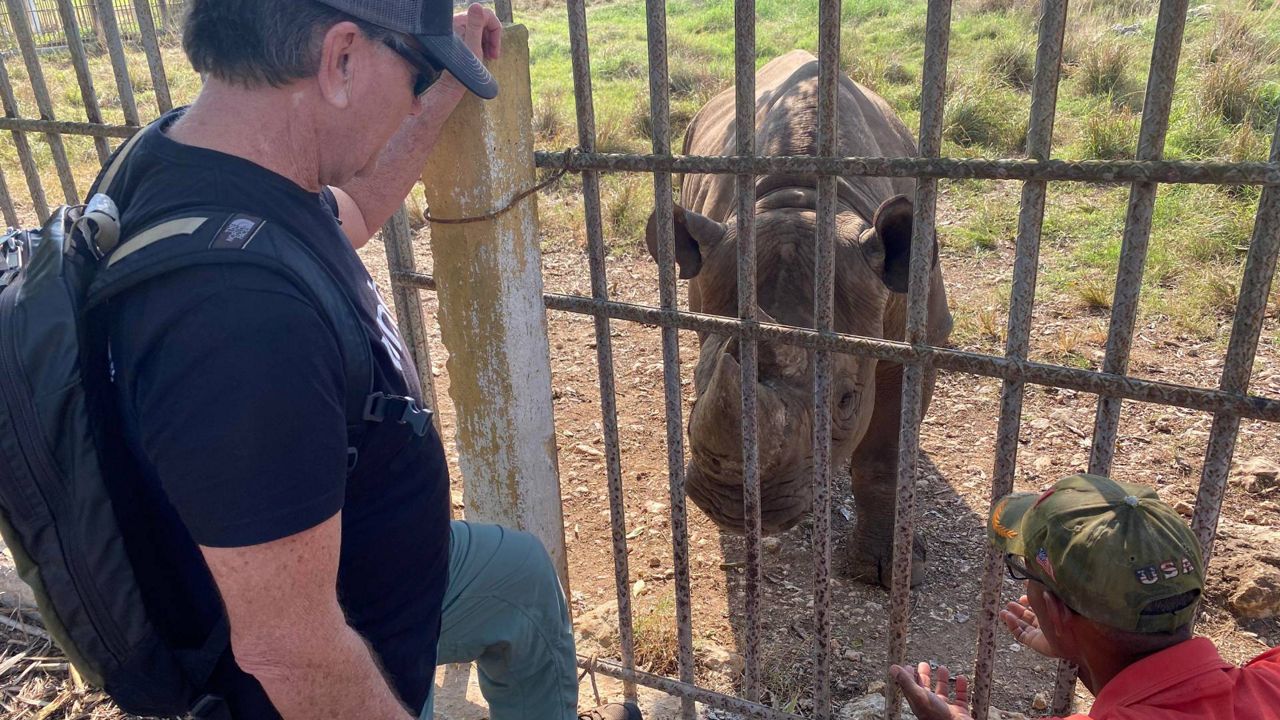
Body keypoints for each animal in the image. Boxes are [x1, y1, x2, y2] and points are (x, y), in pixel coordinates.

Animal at [645, 49, 947, 584]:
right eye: (695, 384)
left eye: (846, 400)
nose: (731, 503)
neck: (803, 199)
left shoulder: (917, 337)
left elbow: (886, 453)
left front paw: (888, 573)